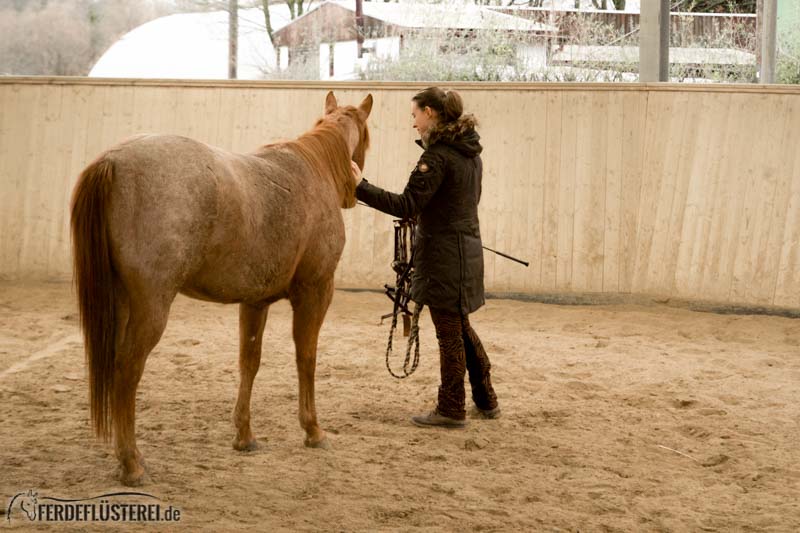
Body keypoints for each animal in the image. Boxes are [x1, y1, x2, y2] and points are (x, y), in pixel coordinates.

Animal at [72, 92, 372, 486]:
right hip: (151, 308)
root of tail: (112, 161)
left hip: (119, 304)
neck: (312, 170)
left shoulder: (255, 302)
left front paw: (244, 436)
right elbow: (306, 358)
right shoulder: (316, 291)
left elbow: (249, 363)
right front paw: (313, 430)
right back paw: (131, 463)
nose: (354, 192)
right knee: (126, 372)